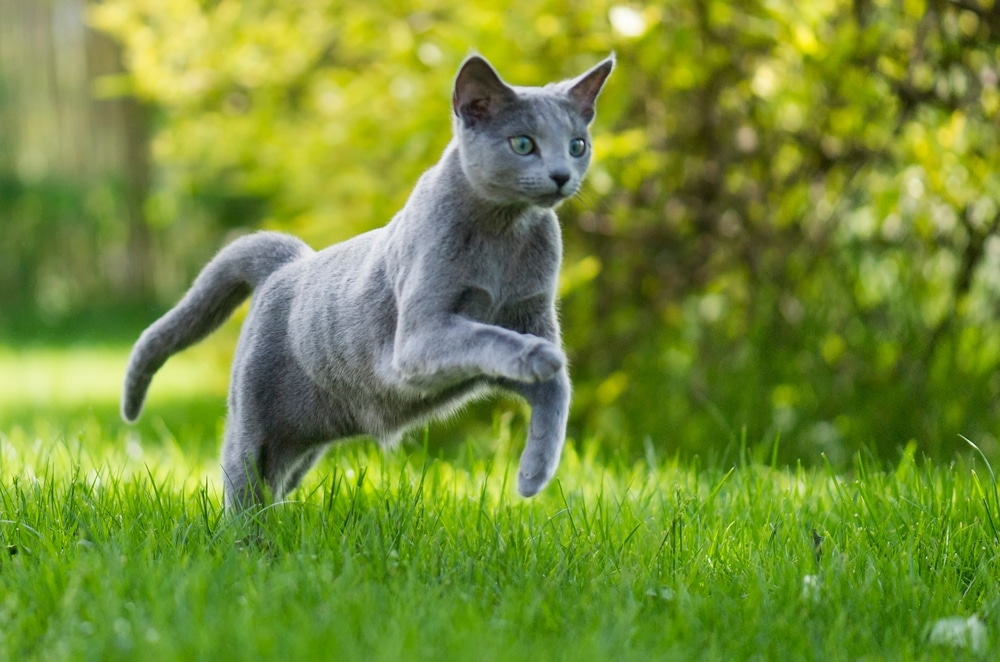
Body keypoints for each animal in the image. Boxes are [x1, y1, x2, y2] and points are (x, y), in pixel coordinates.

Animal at [121, 54, 612, 510]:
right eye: (523, 143)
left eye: (577, 145)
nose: (562, 175)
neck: (504, 234)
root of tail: (290, 260)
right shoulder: (420, 335)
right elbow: (485, 335)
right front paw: (538, 356)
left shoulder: (532, 311)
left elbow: (557, 393)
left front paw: (533, 475)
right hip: (254, 418)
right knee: (243, 486)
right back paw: (248, 540)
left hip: (298, 448)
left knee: (274, 484)